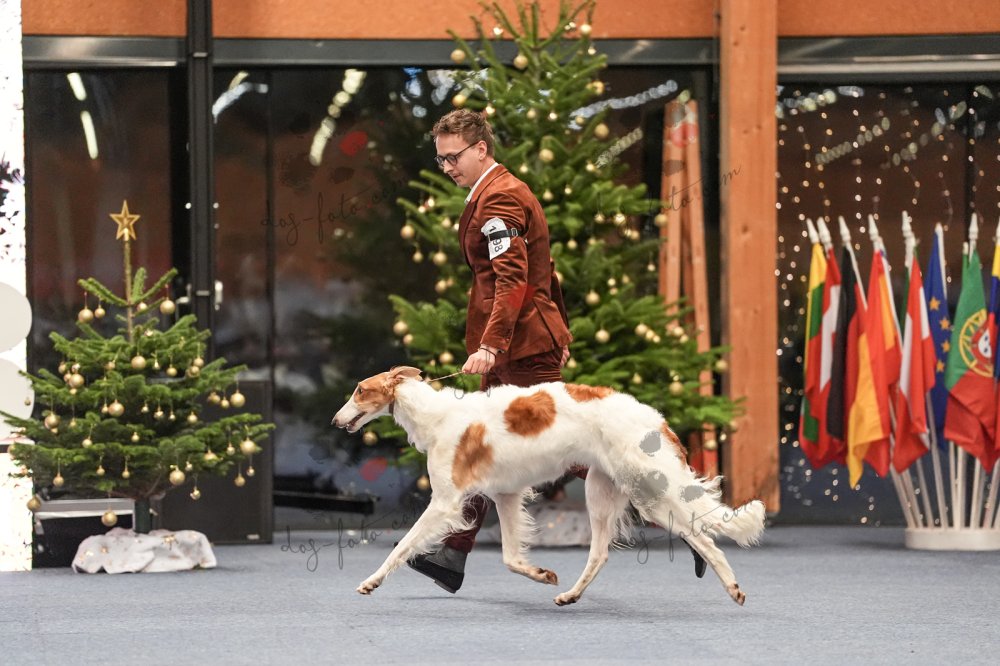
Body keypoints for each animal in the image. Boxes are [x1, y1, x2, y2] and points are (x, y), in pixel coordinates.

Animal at [332, 366, 765, 606]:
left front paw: (370, 582)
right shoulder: (505, 495)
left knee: (702, 535)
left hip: (649, 492)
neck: (436, 416)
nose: (336, 421)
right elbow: (511, 558)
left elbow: (402, 545)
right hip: (603, 492)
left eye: (359, 390)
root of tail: (656, 419)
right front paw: (541, 574)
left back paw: (733, 587)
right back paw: (570, 594)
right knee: (601, 553)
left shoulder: (446, 501)